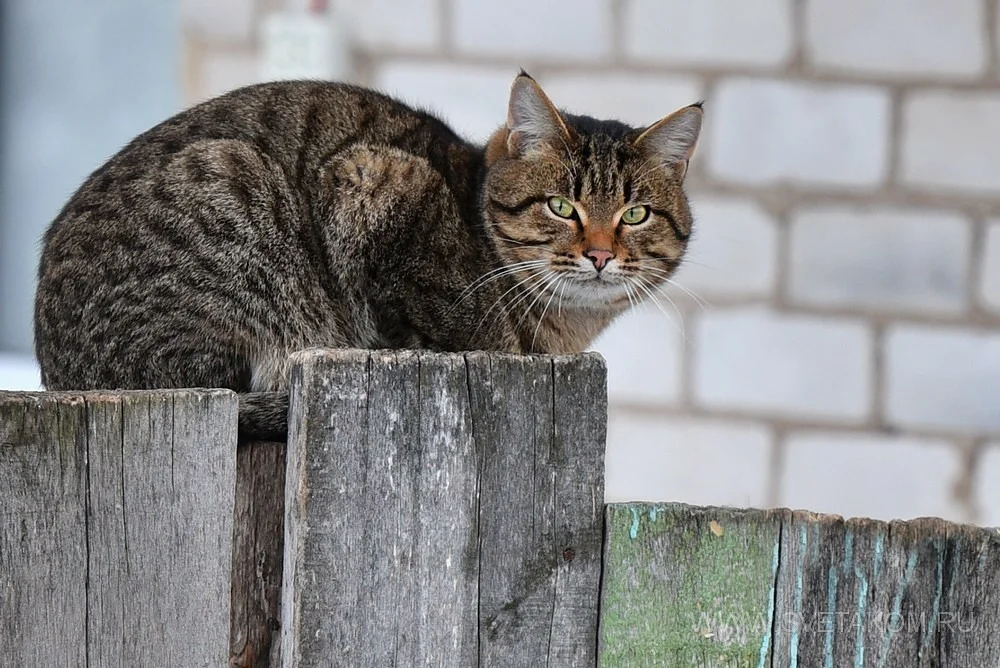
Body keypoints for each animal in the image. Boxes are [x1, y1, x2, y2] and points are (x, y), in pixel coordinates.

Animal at [33, 72, 704, 438]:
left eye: (636, 214)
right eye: (562, 207)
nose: (600, 254)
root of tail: (60, 377)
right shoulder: (369, 180)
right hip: (234, 192)